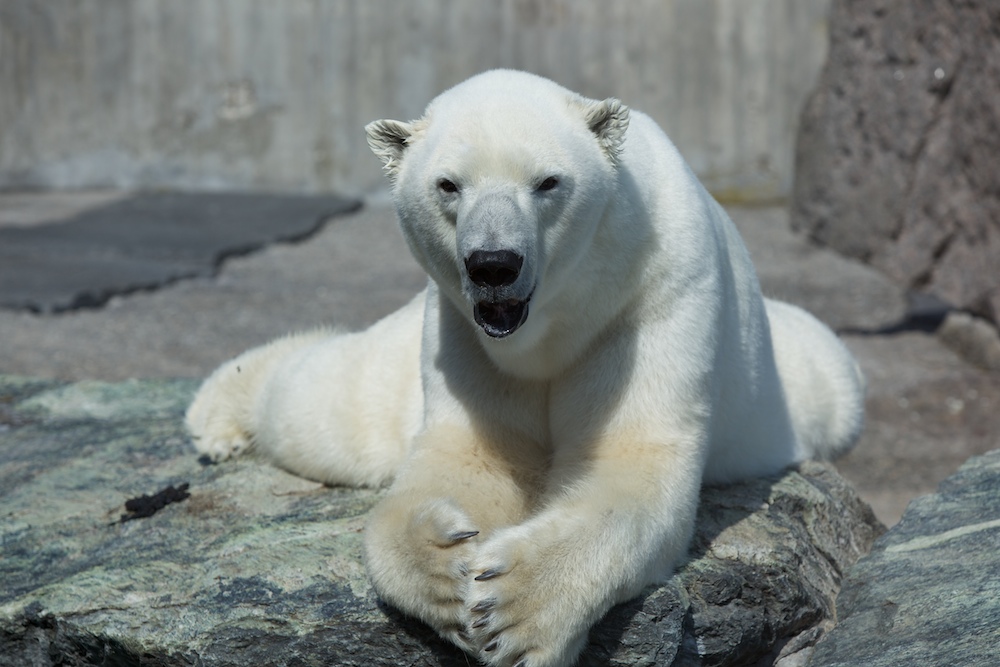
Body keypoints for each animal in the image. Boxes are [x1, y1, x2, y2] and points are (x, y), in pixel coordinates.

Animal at [188, 70, 868, 667]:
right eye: (448, 185)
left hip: (805, 380)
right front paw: (447, 566)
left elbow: (629, 461)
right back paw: (215, 418)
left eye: (548, 182)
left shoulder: (653, 298)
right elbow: (471, 457)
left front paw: (514, 611)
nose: (494, 263)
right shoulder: (461, 333)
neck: (554, 320)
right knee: (330, 407)